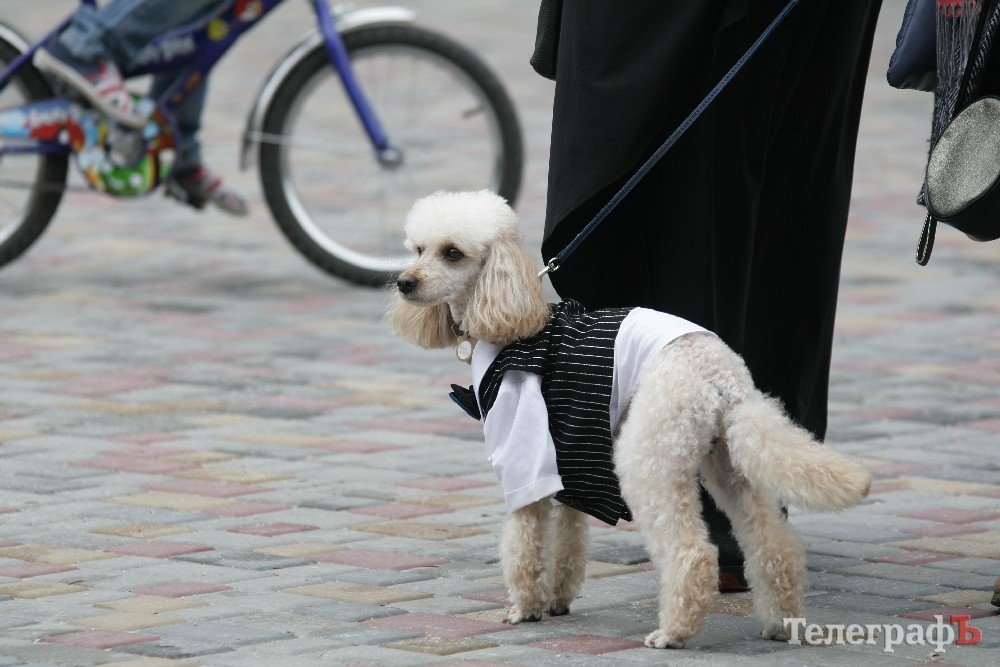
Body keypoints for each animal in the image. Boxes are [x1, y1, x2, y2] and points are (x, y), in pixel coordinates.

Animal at [388, 190, 871, 648]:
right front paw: (558, 599)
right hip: (728, 463)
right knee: (773, 545)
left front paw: (524, 608)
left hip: (650, 457)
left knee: (692, 552)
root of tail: (721, 375)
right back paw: (780, 622)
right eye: (418, 249)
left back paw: (673, 633)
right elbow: (568, 534)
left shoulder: (523, 442)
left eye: (453, 253)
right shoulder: (570, 452)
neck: (508, 312)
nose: (404, 283)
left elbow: (525, 537)